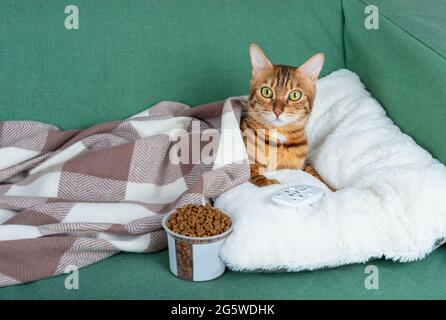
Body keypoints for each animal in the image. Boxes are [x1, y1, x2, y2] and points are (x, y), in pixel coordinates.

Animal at [242, 42, 326, 188]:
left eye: (295, 95)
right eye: (266, 92)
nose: (277, 111)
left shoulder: (302, 164)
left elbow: (314, 173)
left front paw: (331, 188)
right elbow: (252, 172)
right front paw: (267, 182)